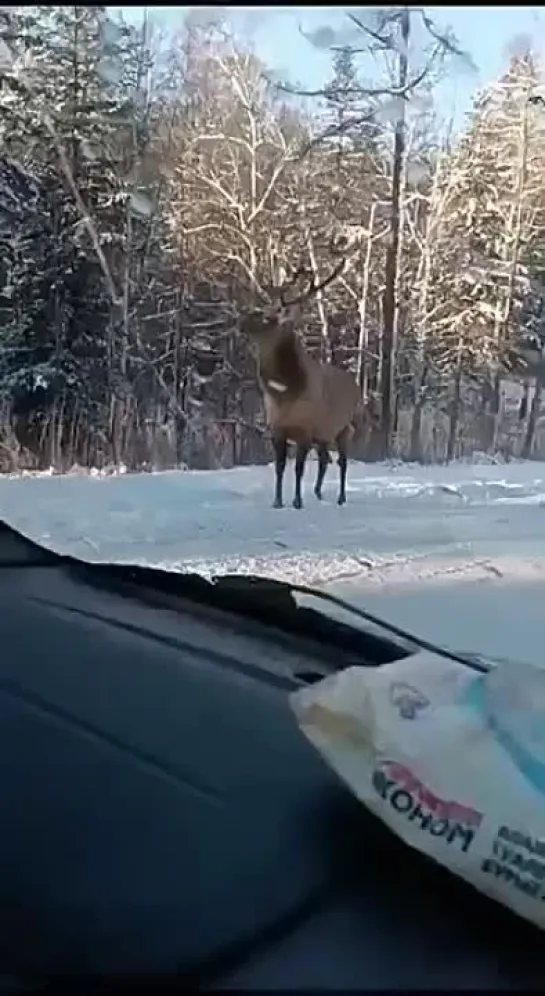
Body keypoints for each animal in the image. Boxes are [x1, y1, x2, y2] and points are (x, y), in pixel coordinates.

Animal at [240, 258, 364, 506]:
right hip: (323, 435)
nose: (241, 320)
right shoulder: (277, 430)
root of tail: (354, 384)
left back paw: (341, 497)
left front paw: (297, 502)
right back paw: (318, 491)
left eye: (268, 317)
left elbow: (298, 469)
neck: (284, 392)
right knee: (325, 460)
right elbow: (279, 468)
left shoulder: (305, 431)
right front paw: (277, 501)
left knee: (342, 462)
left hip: (344, 428)